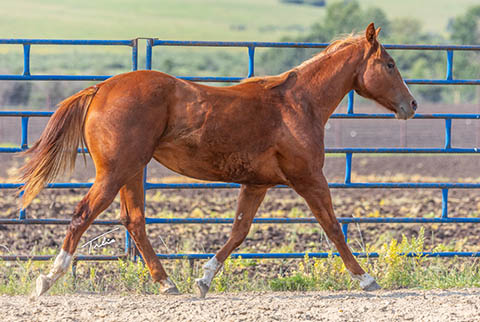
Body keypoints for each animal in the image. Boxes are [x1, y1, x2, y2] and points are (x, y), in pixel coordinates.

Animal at [19, 23, 416, 298]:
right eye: (390, 64)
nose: (411, 105)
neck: (298, 104)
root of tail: (100, 88)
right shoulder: (308, 177)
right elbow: (333, 227)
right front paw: (367, 278)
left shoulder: (256, 183)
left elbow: (239, 231)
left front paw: (204, 279)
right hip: (116, 171)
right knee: (83, 214)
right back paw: (48, 279)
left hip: (131, 170)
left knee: (133, 220)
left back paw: (167, 284)